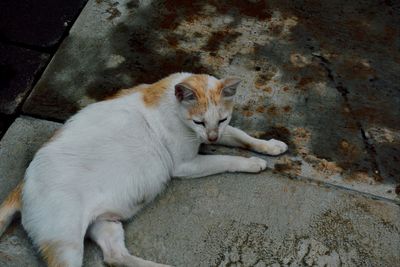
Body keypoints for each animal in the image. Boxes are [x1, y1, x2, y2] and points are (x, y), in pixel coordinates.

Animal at [0, 73, 288, 267]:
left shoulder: (221, 132)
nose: (212, 137)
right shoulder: (186, 164)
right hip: (66, 244)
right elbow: (227, 159)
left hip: (105, 223)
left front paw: (270, 146)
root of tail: (21, 185)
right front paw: (252, 163)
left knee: (115, 257)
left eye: (222, 119)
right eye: (198, 121)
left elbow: (243, 137)